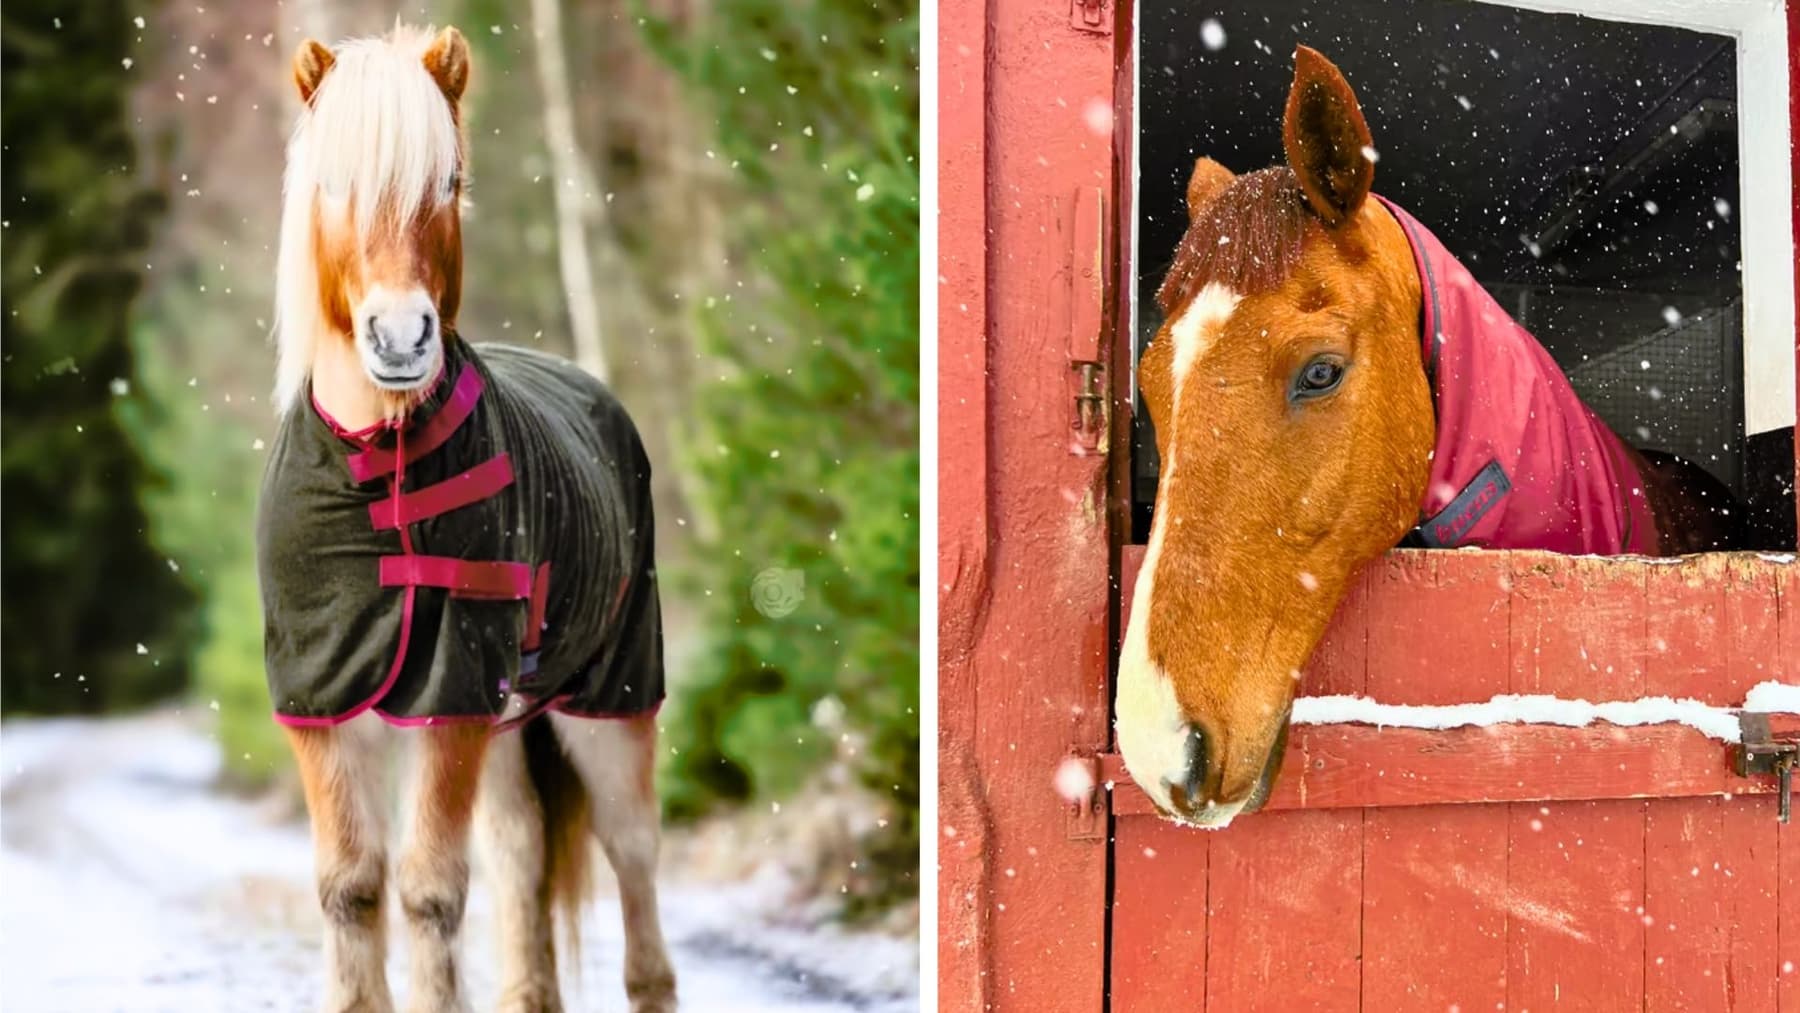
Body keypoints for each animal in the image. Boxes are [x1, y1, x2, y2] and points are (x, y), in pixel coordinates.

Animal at [256, 26, 677, 1011]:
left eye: (446, 180)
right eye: (332, 182)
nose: (400, 337)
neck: (375, 468)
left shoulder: (448, 699)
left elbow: (430, 891)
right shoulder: (321, 704)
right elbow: (351, 889)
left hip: (611, 701)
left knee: (633, 858)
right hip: (514, 724)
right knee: (521, 853)